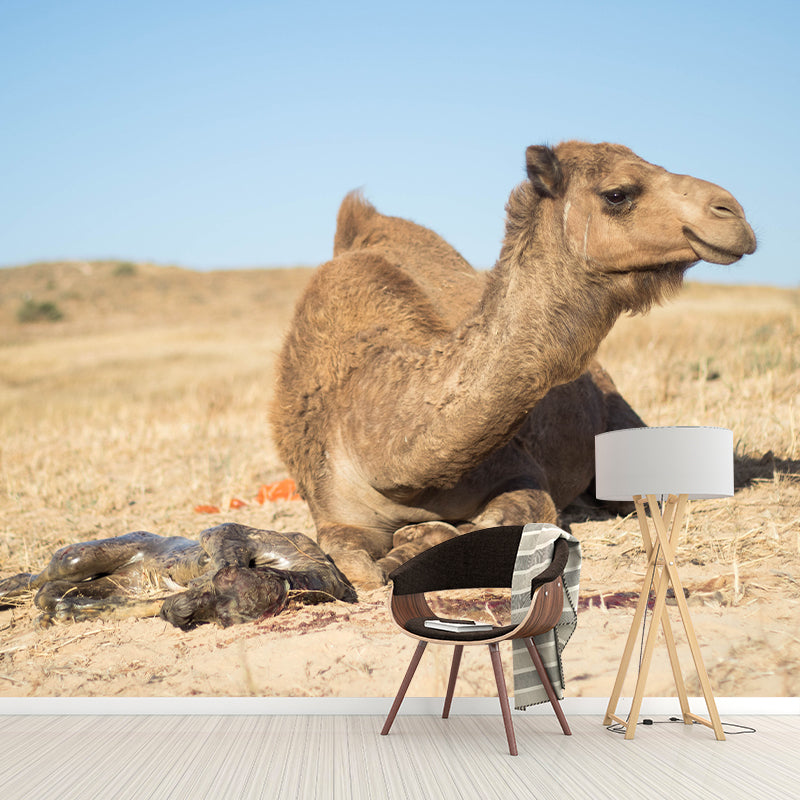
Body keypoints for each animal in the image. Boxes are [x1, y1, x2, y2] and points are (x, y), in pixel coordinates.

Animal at [271, 140, 756, 588]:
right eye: (617, 194)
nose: (732, 213)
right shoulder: (335, 513)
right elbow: (356, 565)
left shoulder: (521, 473)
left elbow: (488, 524)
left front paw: (416, 541)